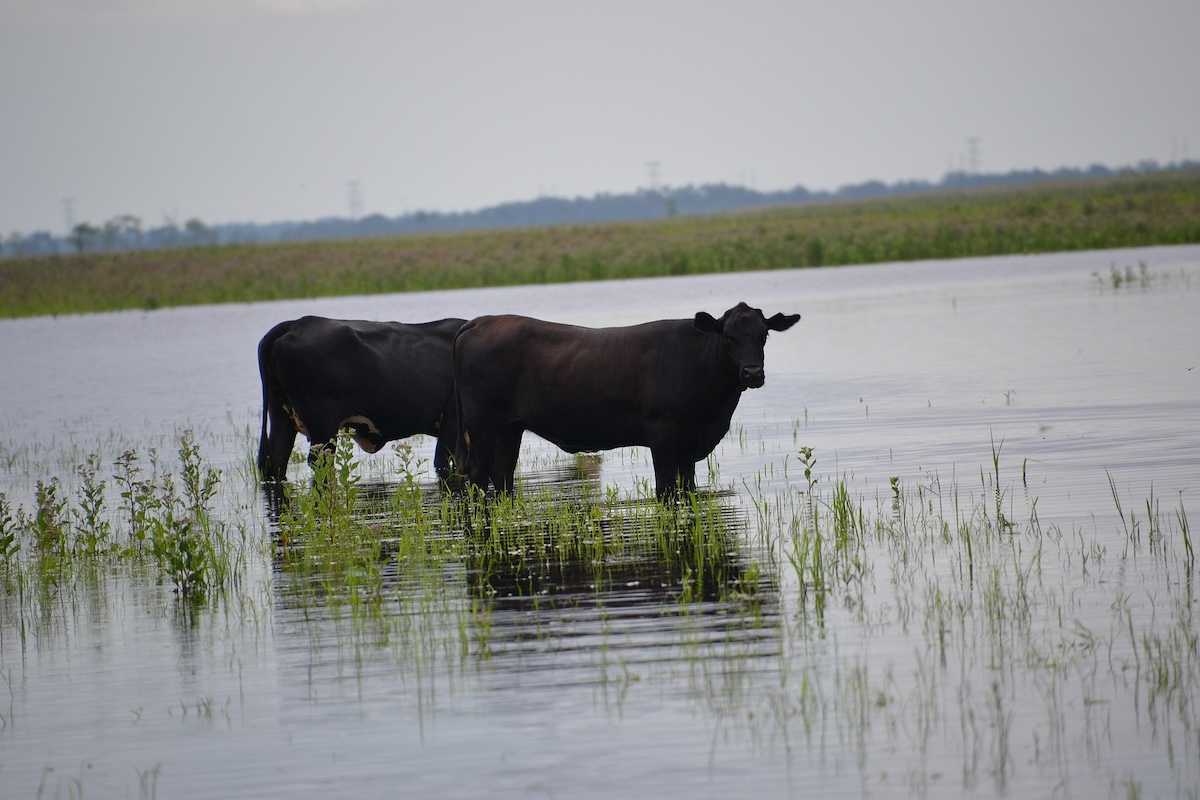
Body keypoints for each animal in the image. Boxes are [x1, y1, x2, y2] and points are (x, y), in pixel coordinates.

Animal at [256, 315, 466, 482]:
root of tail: (296, 323)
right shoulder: (451, 424)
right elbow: (443, 462)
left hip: (281, 418)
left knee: (276, 461)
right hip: (322, 428)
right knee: (319, 464)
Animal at [452, 302, 800, 499]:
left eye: (764, 335)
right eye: (728, 336)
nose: (753, 373)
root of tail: (479, 321)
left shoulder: (689, 445)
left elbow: (687, 487)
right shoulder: (663, 437)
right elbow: (665, 489)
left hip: (509, 429)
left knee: (502, 476)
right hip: (481, 426)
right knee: (478, 476)